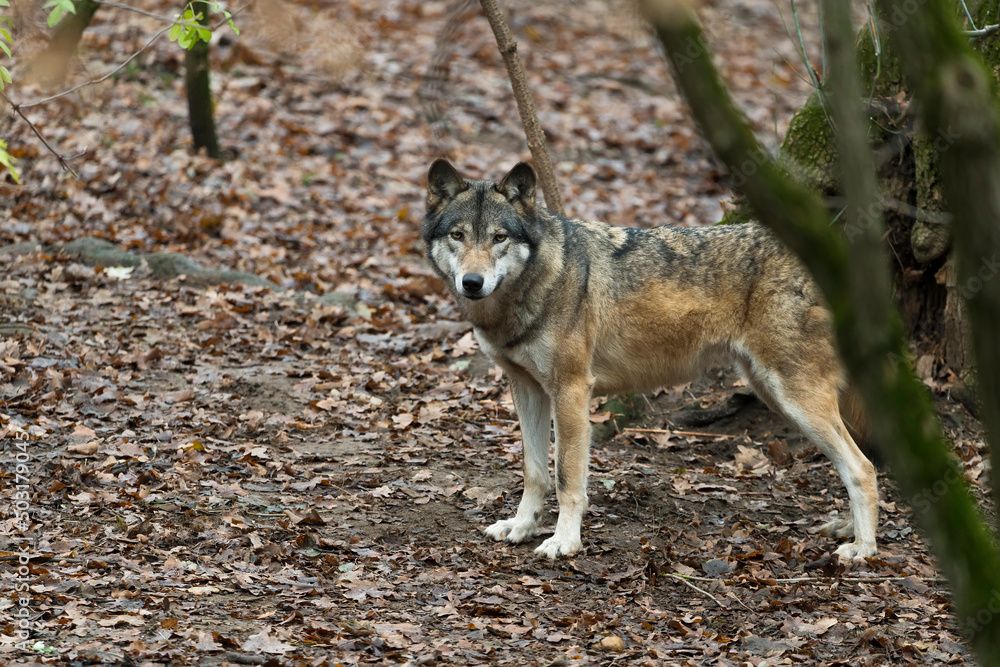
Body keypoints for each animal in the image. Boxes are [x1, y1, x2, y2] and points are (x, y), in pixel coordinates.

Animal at [426, 159, 880, 560]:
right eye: (458, 235)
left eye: (499, 237)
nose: (472, 282)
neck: (535, 285)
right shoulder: (527, 390)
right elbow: (534, 472)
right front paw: (521, 527)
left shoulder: (571, 392)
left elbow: (567, 479)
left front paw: (564, 542)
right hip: (775, 393)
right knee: (858, 461)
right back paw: (847, 528)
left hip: (793, 396)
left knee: (862, 468)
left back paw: (863, 549)